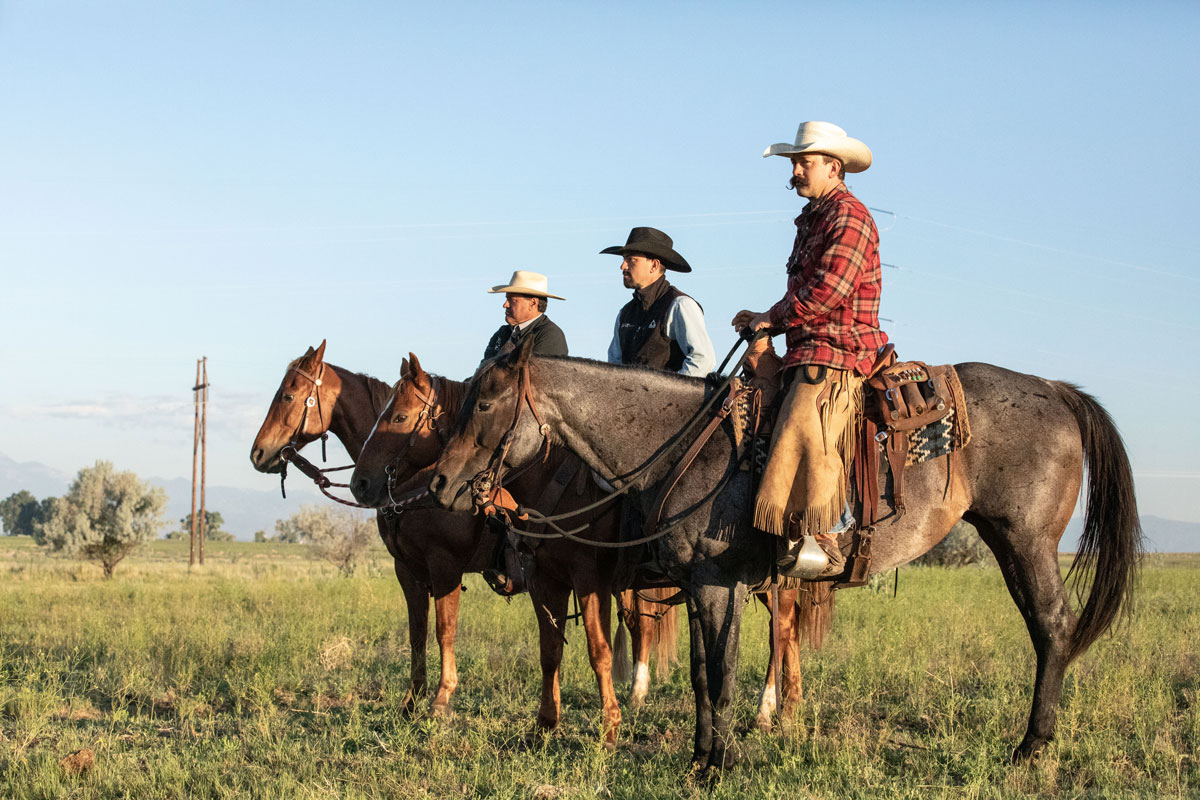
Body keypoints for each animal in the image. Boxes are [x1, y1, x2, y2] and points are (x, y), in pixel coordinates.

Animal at [348, 352, 835, 743]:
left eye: (399, 418)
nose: (361, 484)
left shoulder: (469, 568)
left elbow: (593, 649)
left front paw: (609, 728)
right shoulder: (526, 577)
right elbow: (542, 648)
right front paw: (542, 725)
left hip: (770, 583)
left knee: (780, 634)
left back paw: (769, 710)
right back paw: (784, 708)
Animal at [432, 340, 1142, 772]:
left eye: (485, 401)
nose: (440, 484)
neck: (680, 445)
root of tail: (1055, 389)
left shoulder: (717, 584)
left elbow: (719, 674)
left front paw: (716, 766)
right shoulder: (702, 586)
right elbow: (701, 673)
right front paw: (701, 756)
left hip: (1028, 541)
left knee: (1052, 626)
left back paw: (1030, 746)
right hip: (1005, 539)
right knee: (1045, 628)